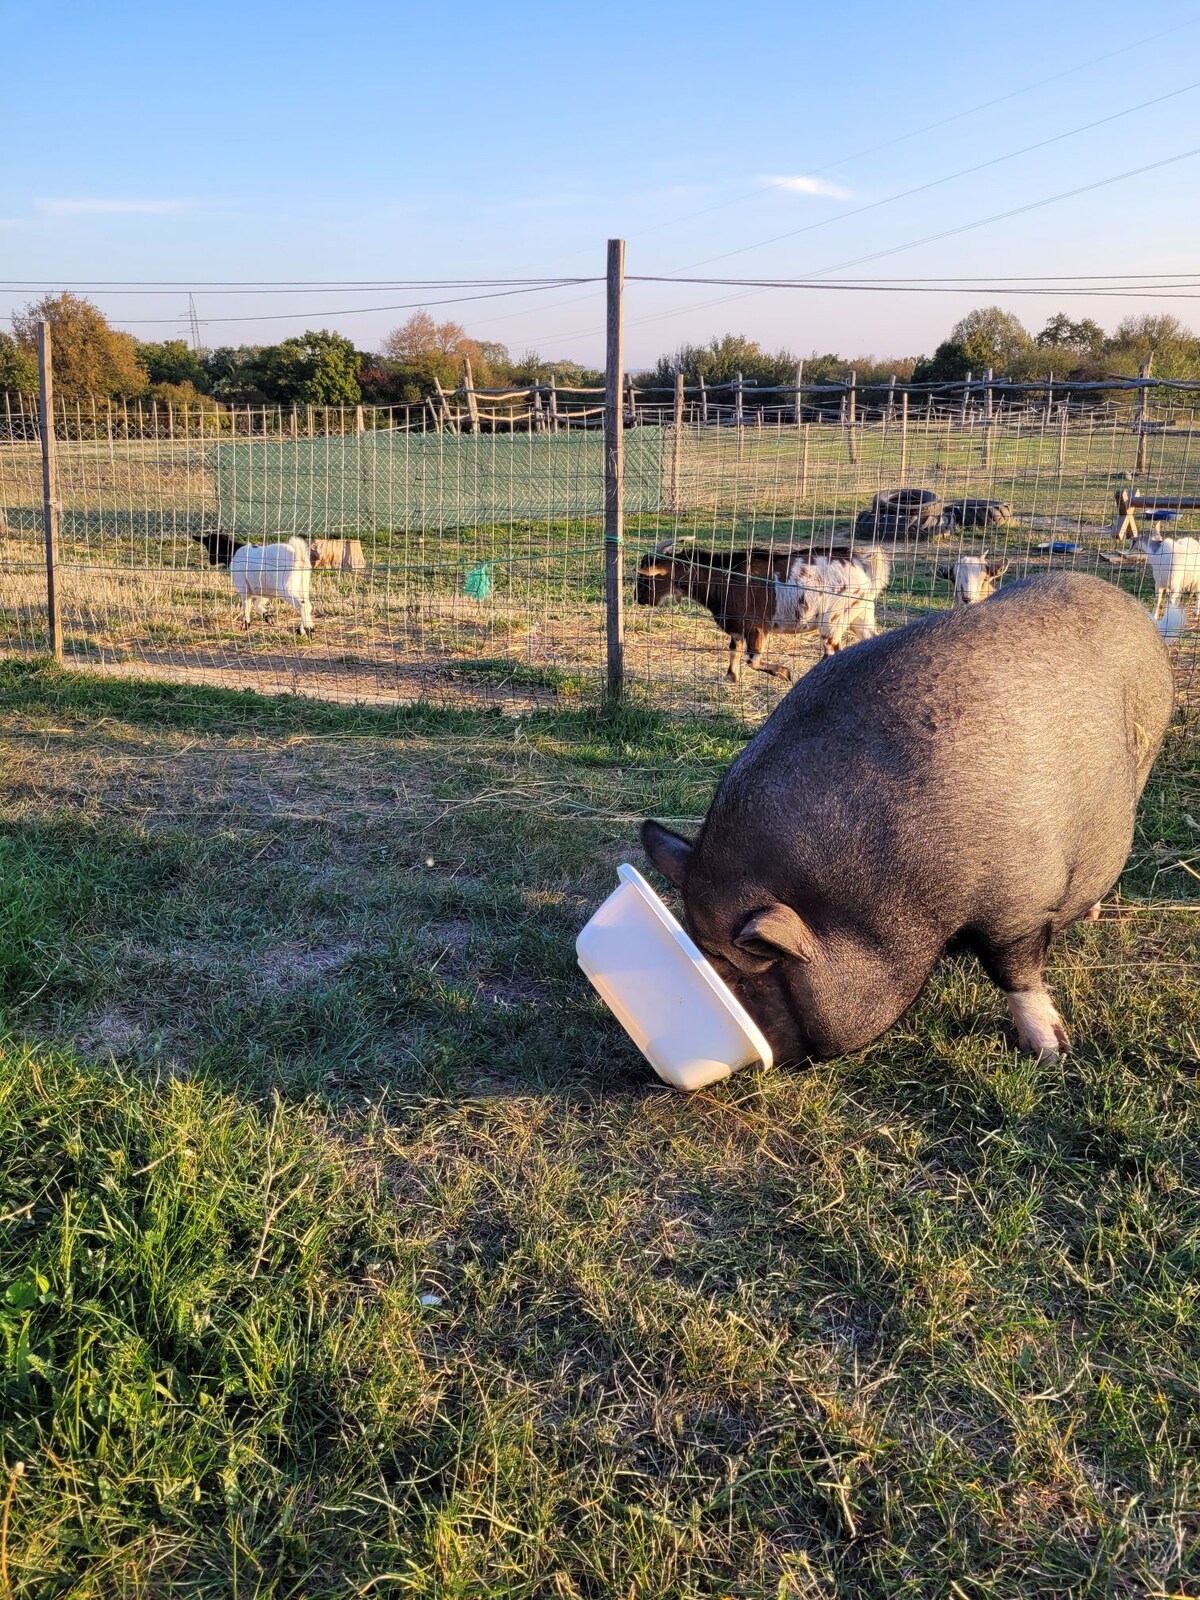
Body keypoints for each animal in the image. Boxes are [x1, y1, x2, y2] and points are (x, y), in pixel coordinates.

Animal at [640, 544, 896, 681]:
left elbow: (753, 660)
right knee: (871, 639)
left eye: (647, 577)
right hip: (860, 615)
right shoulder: (737, 628)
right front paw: (732, 678)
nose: (639, 598)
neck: (724, 579)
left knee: (832, 653)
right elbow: (734, 652)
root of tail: (861, 563)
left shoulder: (756, 626)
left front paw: (784, 673)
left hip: (833, 620)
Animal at [643, 572, 1177, 1062]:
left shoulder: (1019, 905)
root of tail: (1122, 598)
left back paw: (1091, 914)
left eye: (746, 972)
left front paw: (1049, 1053)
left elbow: (1015, 973)